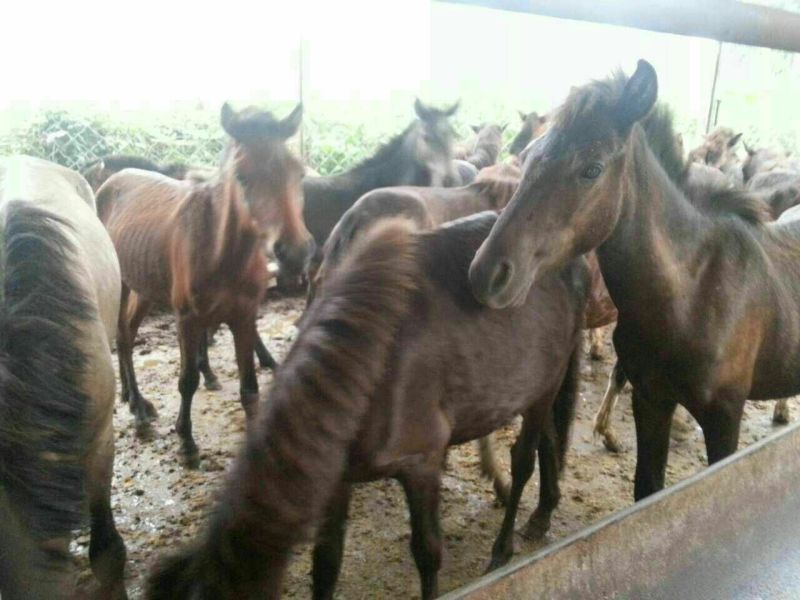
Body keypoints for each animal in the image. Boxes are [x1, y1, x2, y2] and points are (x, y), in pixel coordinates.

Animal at [97, 102, 311, 467]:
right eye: (241, 176)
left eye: (299, 173)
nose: (295, 252)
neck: (219, 251)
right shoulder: (187, 319)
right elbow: (188, 381)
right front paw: (186, 442)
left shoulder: (243, 317)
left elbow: (250, 386)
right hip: (122, 284)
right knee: (123, 337)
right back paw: (138, 408)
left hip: (144, 288)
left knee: (128, 332)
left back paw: (134, 400)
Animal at [147, 213, 588, 599]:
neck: (365, 365)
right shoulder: (337, 478)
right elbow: (325, 566)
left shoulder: (421, 463)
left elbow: (427, 554)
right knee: (547, 440)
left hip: (545, 387)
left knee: (524, 459)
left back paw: (503, 547)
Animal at [469, 59, 800, 502]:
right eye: (526, 156)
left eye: (591, 169)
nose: (487, 273)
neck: (693, 293)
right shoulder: (651, 399)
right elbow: (649, 490)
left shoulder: (725, 418)